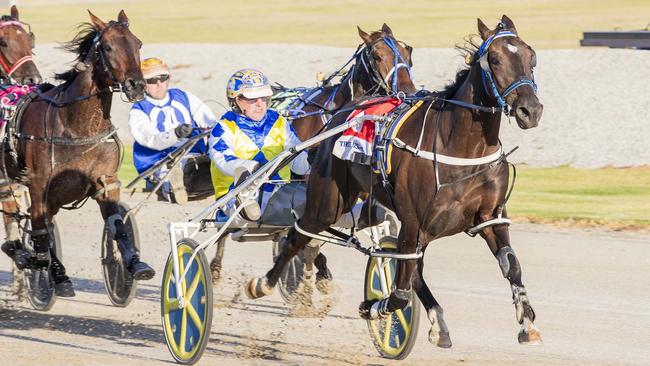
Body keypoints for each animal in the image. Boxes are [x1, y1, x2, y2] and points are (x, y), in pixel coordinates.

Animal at [1, 10, 153, 298]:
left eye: (138, 44)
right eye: (108, 47)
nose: (136, 85)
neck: (75, 125)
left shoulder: (106, 181)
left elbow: (117, 225)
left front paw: (134, 263)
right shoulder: (40, 184)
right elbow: (41, 230)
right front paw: (49, 271)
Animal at [210, 24, 418, 284]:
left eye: (408, 53)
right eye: (378, 56)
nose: (409, 91)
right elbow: (308, 235)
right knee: (226, 218)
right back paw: (216, 264)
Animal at [247, 14, 540, 346]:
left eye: (531, 56)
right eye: (495, 58)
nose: (531, 110)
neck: (461, 145)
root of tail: (347, 111)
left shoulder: (489, 217)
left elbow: (510, 265)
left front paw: (527, 321)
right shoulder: (414, 221)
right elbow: (400, 291)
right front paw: (374, 307)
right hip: (328, 201)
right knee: (298, 236)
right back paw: (264, 283)